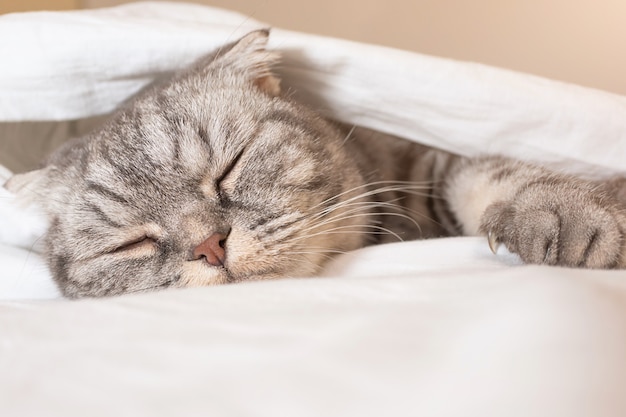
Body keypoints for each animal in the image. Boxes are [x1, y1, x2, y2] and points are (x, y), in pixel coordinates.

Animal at [4, 30, 624, 298]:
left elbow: (489, 172)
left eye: (229, 167)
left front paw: (563, 210)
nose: (210, 247)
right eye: (129, 243)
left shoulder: (424, 156)